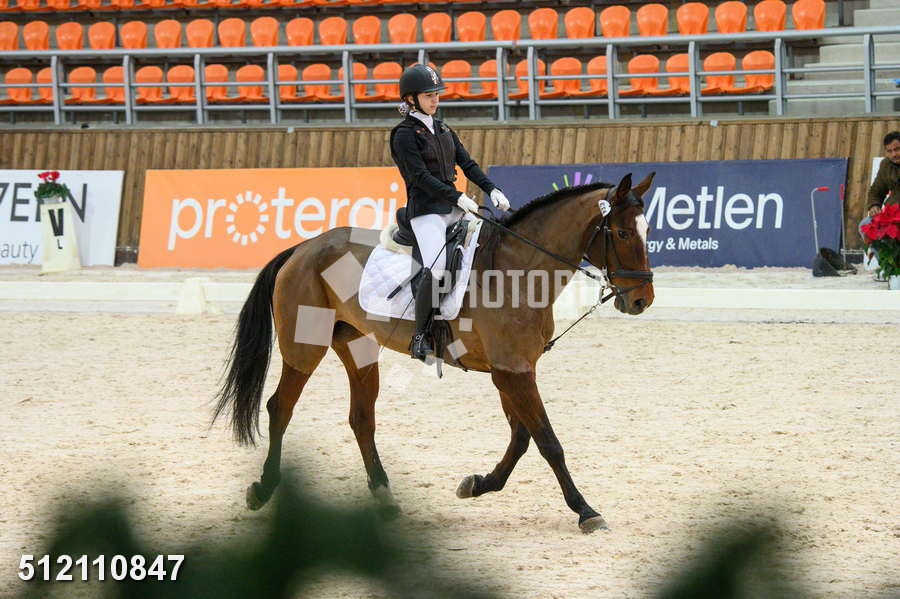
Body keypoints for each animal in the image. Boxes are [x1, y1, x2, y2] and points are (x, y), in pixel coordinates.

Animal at [213, 172, 656, 534]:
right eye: (621, 234)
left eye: (646, 230)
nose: (641, 300)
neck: (518, 271)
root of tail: (304, 248)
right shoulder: (512, 372)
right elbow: (548, 441)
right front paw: (585, 510)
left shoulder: (509, 370)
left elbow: (521, 437)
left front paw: (479, 484)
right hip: (305, 348)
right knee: (280, 408)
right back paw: (263, 490)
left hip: (357, 347)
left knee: (361, 419)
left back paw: (385, 498)